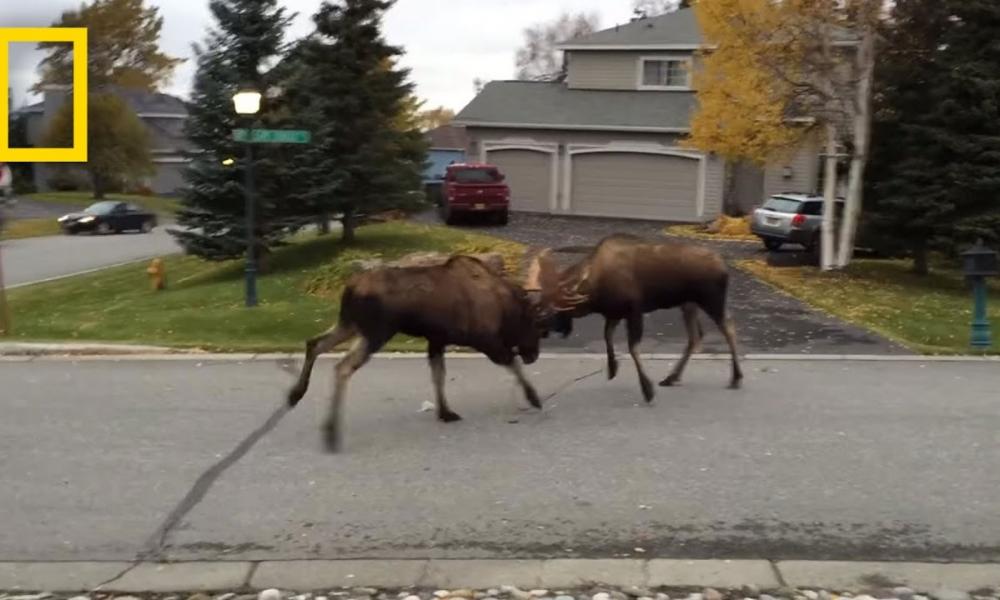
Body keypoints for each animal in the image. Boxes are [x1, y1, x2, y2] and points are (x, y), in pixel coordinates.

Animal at [288, 253, 556, 450]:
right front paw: (534, 397)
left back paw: (296, 394)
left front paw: (445, 412)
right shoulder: (485, 341)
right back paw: (331, 432)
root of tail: (350, 288)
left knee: (314, 343)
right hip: (375, 332)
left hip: (350, 323)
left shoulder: (437, 340)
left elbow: (438, 375)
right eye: (537, 326)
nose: (533, 355)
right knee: (342, 367)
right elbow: (511, 363)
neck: (506, 309)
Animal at [532, 233, 744, 398]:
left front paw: (646, 389)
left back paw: (736, 377)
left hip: (711, 302)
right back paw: (672, 377)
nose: (542, 330)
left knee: (729, 327)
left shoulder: (634, 311)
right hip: (688, 305)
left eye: (552, 307)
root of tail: (723, 266)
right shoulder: (615, 314)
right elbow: (608, 337)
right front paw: (612, 368)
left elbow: (632, 347)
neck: (594, 288)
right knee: (695, 337)